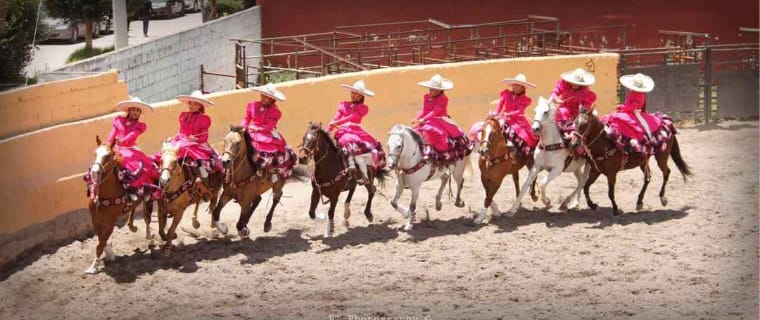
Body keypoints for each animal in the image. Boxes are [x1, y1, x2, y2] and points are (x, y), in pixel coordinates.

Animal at [84, 136, 154, 274]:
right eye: (95, 153)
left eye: (108, 155)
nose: (94, 172)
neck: (104, 195)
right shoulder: (95, 219)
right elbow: (101, 239)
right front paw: (110, 254)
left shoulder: (110, 221)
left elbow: (101, 242)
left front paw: (93, 267)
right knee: (133, 209)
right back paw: (132, 226)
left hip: (149, 198)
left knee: (147, 217)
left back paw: (149, 235)